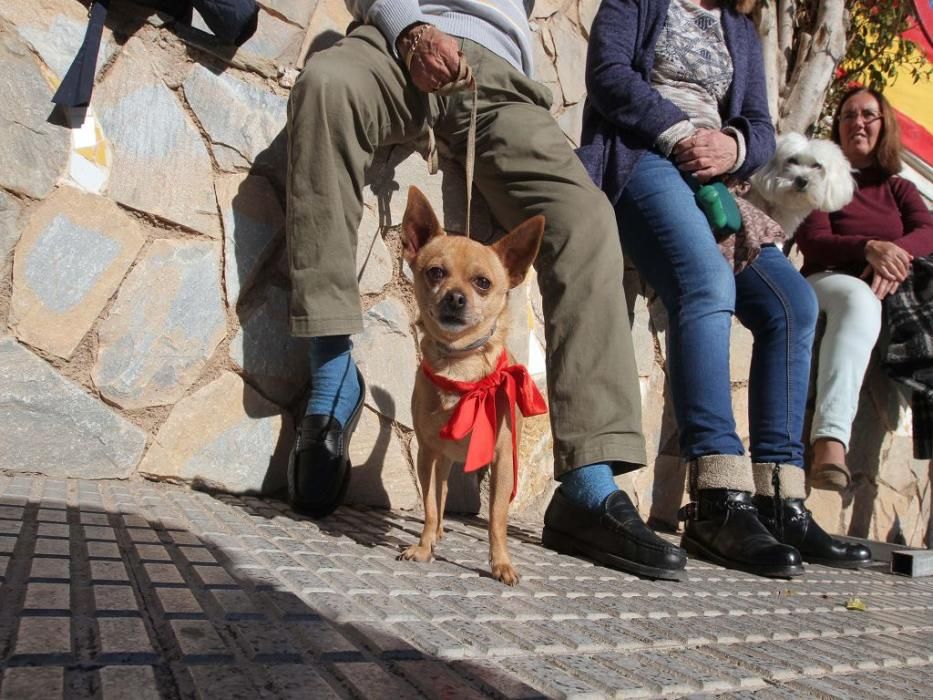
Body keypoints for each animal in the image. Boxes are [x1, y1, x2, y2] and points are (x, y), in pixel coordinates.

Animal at [396, 186, 544, 584]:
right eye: (435, 273)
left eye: (483, 283)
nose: (455, 296)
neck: (460, 364)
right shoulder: (428, 452)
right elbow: (431, 505)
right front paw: (423, 546)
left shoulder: (502, 460)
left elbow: (496, 519)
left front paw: (501, 563)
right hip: (442, 457)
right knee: (441, 493)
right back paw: (436, 534)